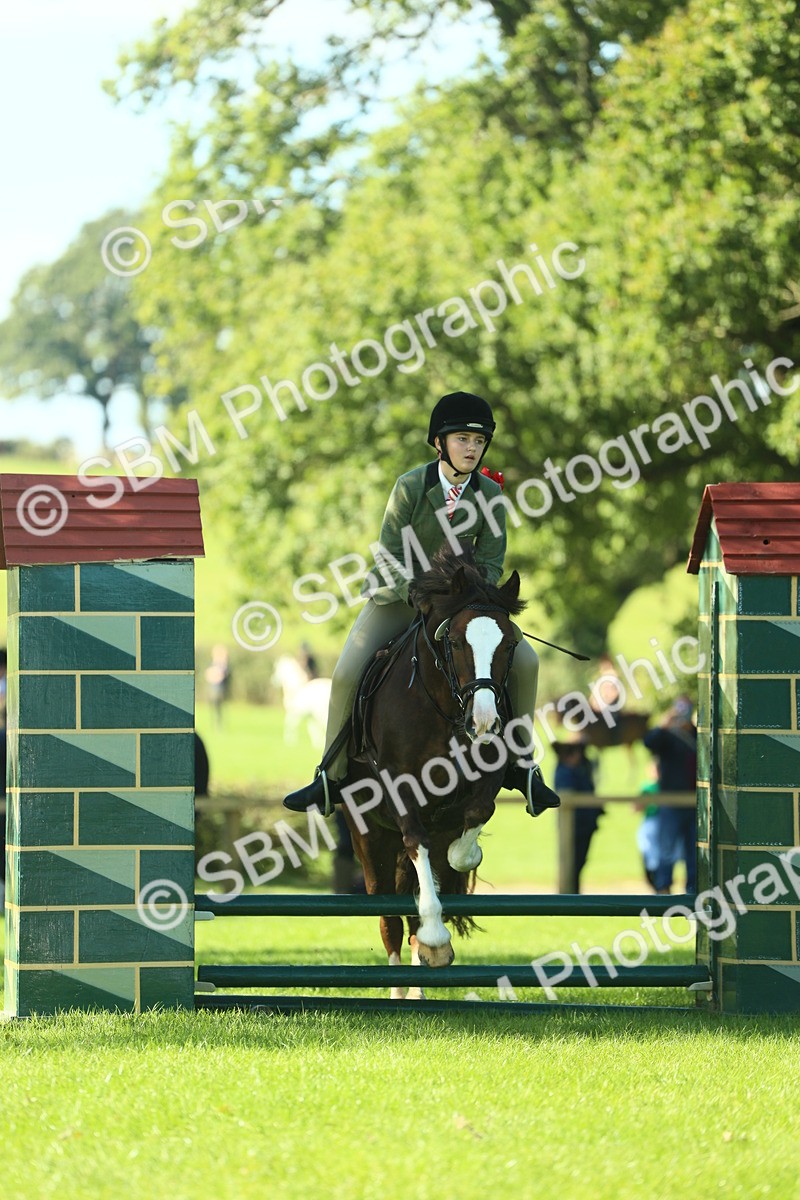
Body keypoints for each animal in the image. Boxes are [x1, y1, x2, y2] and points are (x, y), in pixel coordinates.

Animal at [342, 543, 526, 1000]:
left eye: (510, 643)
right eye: (455, 642)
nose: (483, 722)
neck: (444, 708)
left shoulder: (488, 773)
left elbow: (472, 822)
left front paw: (465, 856)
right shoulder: (398, 784)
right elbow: (417, 841)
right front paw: (437, 938)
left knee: (409, 908)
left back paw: (418, 983)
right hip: (368, 838)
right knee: (390, 920)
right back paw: (399, 989)